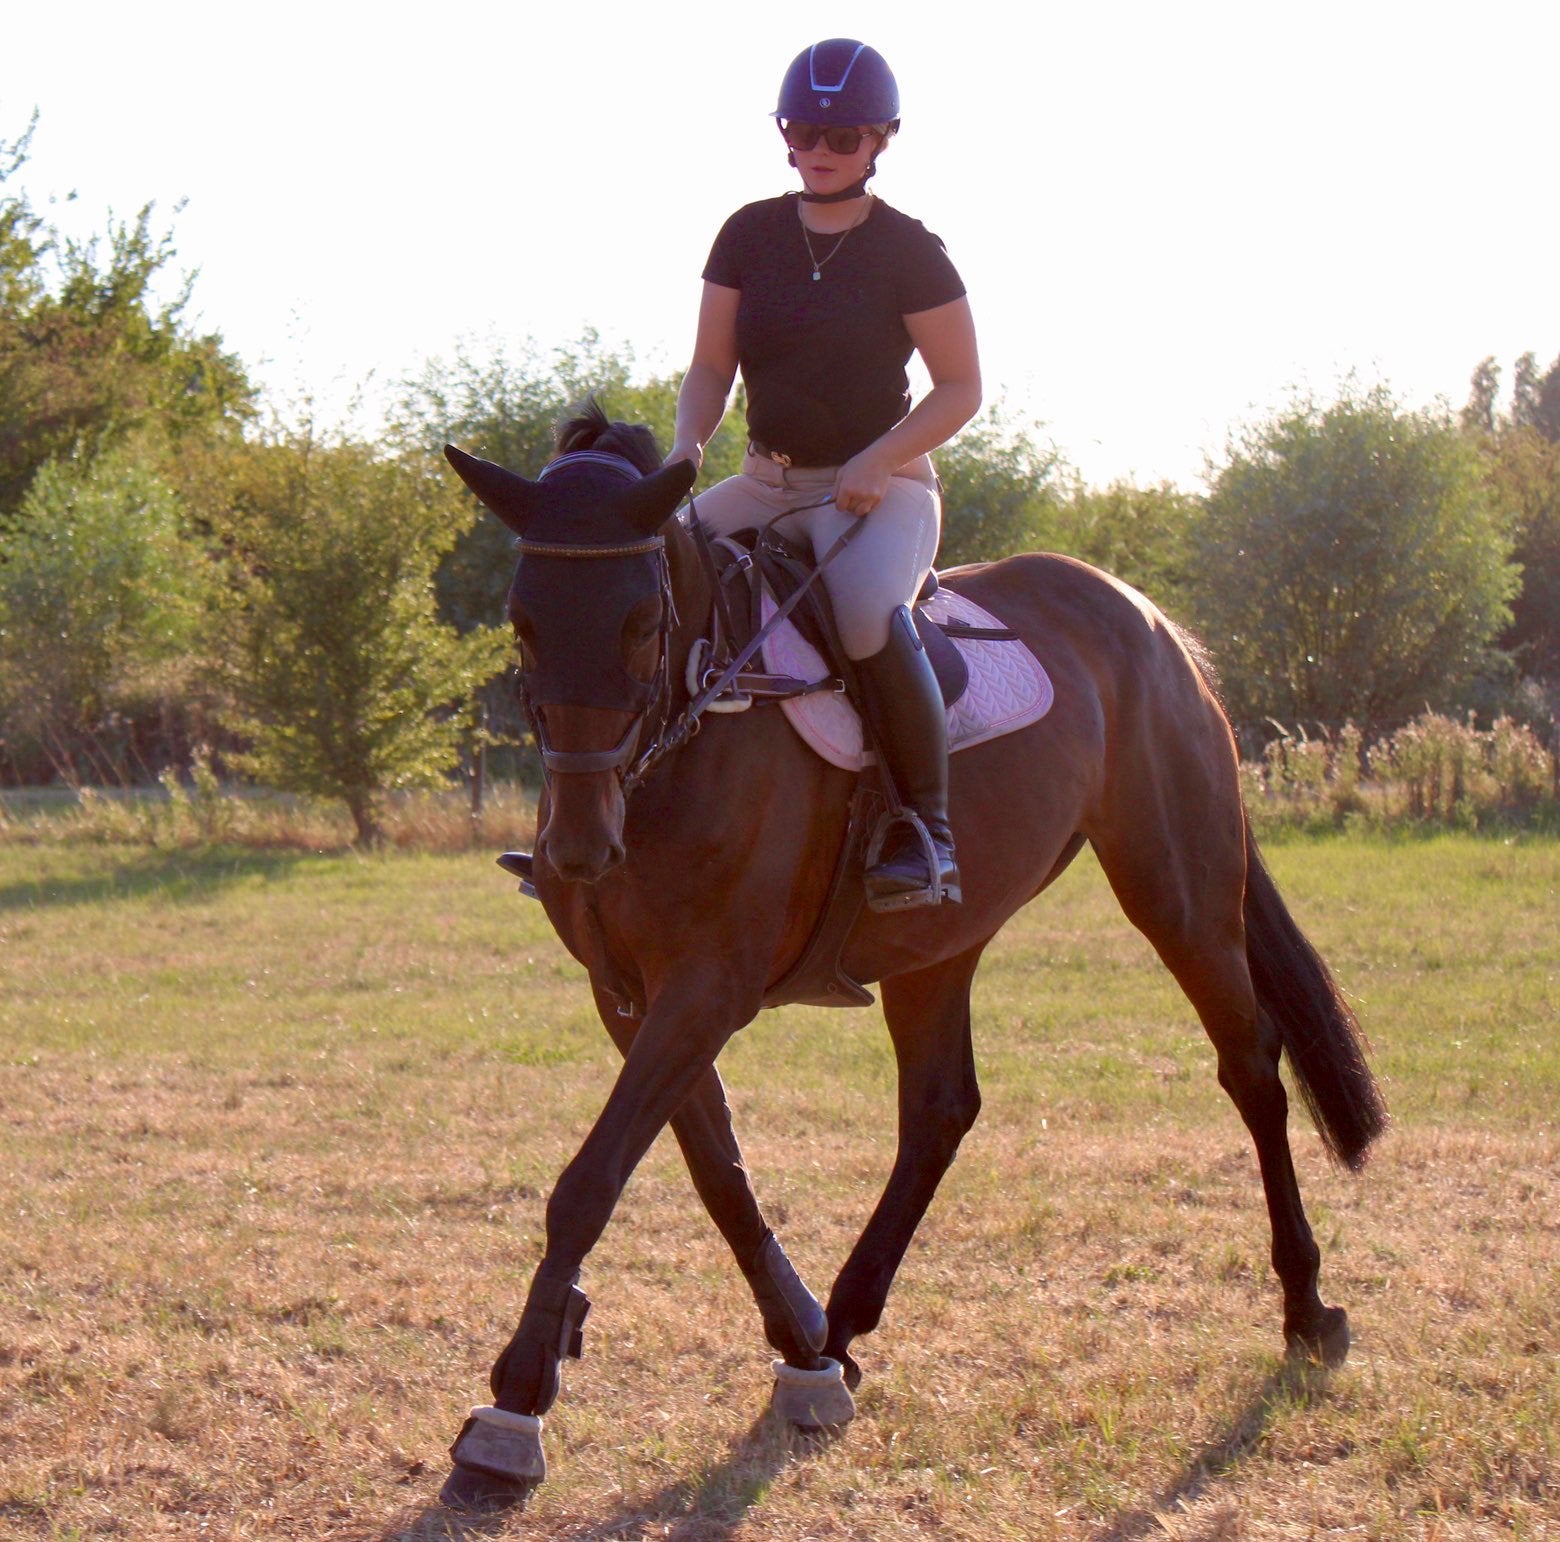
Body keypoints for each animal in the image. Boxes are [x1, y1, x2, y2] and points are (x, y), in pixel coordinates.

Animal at [437, 404, 1387, 1512]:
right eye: (521, 623)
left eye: (638, 622)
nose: (579, 849)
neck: (692, 725)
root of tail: (1150, 619)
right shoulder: (629, 997)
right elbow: (717, 1176)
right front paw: (801, 1350)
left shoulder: (706, 988)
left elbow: (591, 1181)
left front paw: (512, 1408)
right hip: (943, 941)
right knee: (941, 1109)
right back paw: (846, 1324)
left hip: (1179, 894)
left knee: (1251, 1070)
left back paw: (1307, 1308)